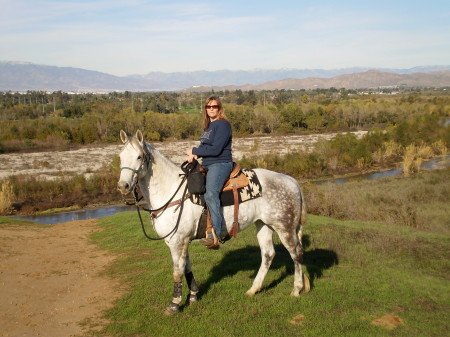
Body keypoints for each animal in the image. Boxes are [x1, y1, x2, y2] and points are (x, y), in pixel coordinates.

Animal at [117, 131, 310, 312]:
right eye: (120, 156)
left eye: (139, 156)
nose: (123, 186)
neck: (171, 191)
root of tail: (292, 181)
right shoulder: (183, 240)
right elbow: (187, 268)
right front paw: (193, 296)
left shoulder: (177, 241)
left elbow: (177, 272)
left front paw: (174, 304)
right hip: (264, 224)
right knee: (268, 254)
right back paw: (253, 289)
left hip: (285, 227)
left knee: (296, 254)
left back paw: (296, 290)